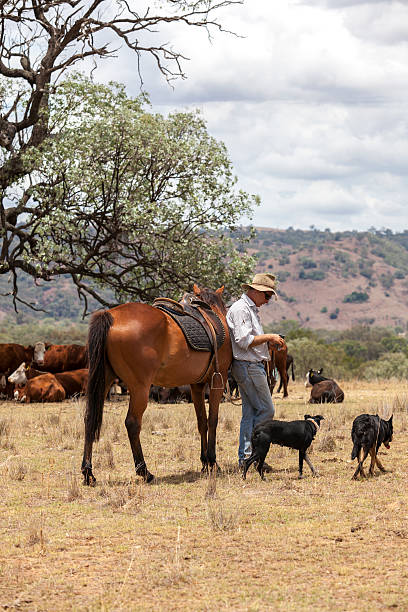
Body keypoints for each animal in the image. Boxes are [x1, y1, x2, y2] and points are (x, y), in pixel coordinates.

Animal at [81, 286, 231, 482]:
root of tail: (111, 316)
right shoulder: (217, 381)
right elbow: (213, 420)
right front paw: (212, 462)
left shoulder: (196, 386)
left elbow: (202, 422)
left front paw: (205, 462)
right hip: (139, 388)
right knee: (132, 423)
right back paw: (144, 471)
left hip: (104, 381)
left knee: (90, 418)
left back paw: (88, 472)